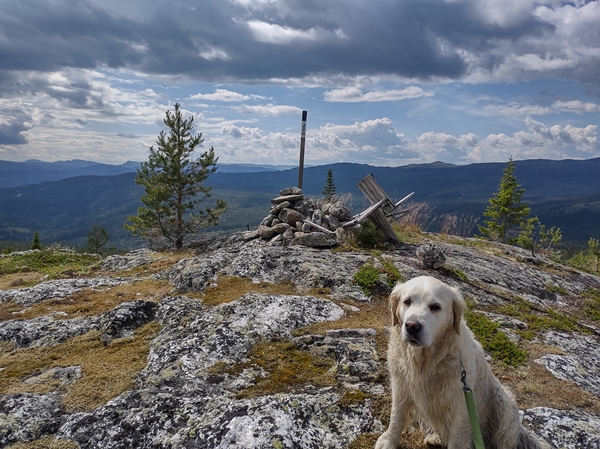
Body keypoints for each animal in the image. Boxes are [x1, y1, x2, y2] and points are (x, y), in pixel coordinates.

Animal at [376, 274, 552, 448]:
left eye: (435, 307)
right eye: (407, 301)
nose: (412, 326)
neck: (426, 360)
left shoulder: (461, 405)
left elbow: (457, 438)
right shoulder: (400, 386)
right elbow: (396, 416)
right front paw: (389, 440)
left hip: (504, 404)